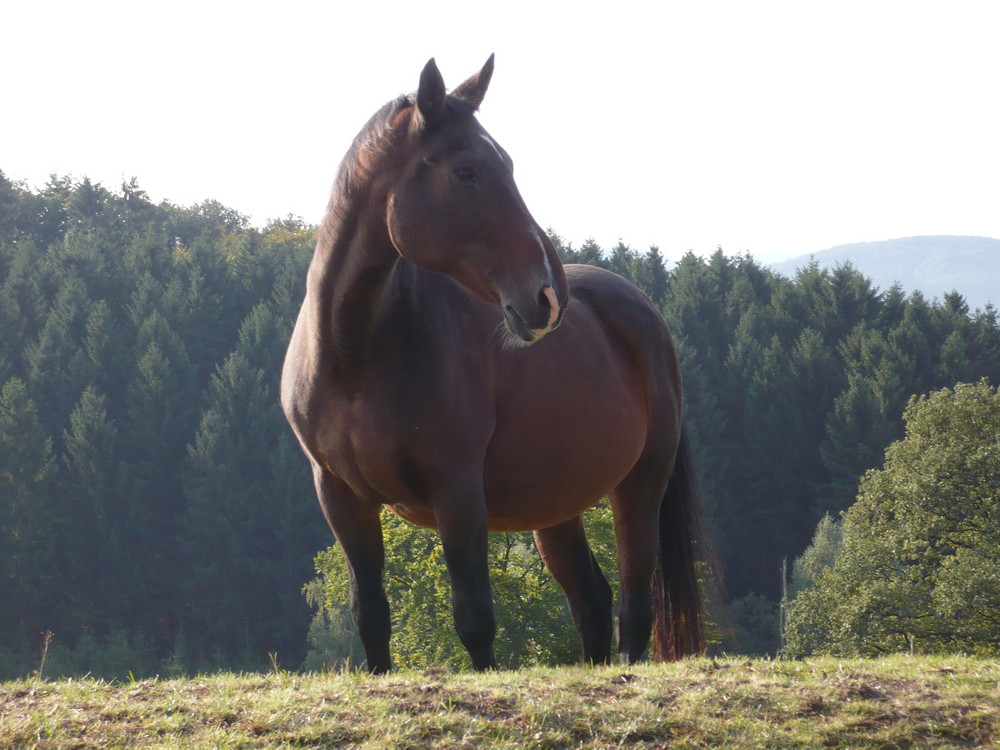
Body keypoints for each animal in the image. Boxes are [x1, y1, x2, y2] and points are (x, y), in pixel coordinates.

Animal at [280, 55, 704, 672]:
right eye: (466, 172)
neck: (355, 355)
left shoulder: (456, 490)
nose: (548, 294)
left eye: (506, 164)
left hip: (641, 486)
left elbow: (475, 617)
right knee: (592, 601)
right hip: (556, 507)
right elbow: (371, 617)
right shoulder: (341, 497)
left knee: (633, 604)